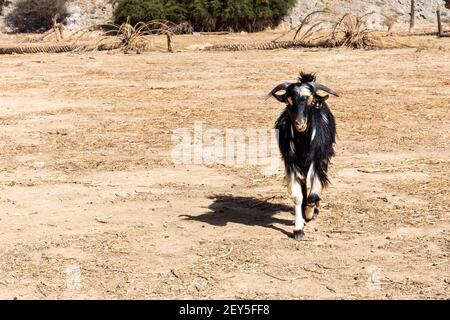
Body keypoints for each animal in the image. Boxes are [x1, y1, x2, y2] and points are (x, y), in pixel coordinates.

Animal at [268, 72, 338, 240]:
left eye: (311, 101)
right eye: (288, 101)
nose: (300, 123)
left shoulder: (317, 163)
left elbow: (314, 193)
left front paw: (309, 213)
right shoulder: (291, 164)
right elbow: (297, 196)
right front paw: (298, 228)